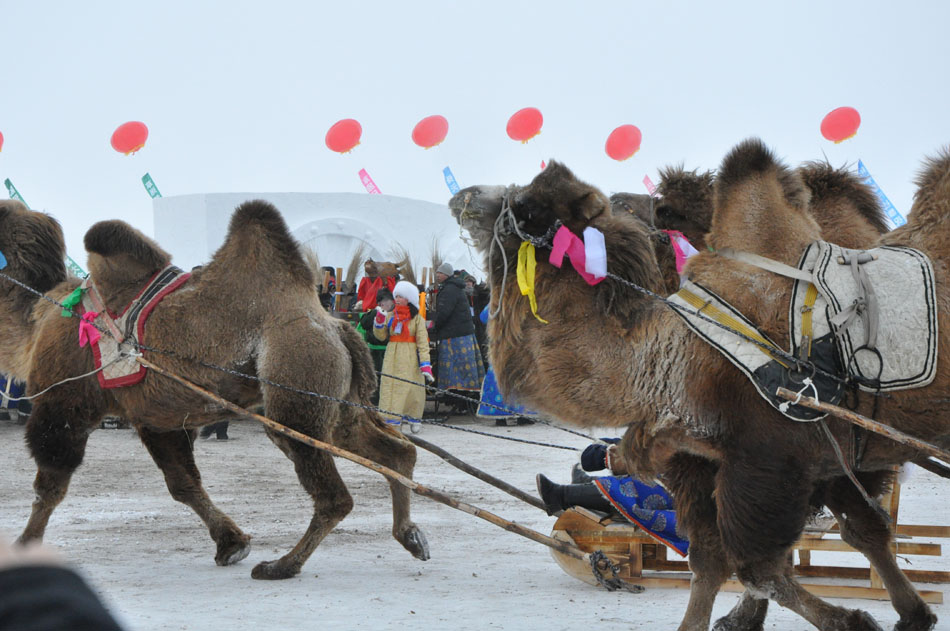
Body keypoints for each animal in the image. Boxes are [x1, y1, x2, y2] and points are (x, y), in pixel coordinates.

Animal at [0, 200, 432, 580]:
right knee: (395, 453)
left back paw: (282, 566)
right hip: (338, 402)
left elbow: (49, 486)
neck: (37, 318)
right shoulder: (157, 417)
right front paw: (231, 543)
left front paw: (25, 546)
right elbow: (183, 484)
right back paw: (410, 535)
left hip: (297, 386)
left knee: (334, 495)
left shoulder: (63, 403)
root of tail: (338, 326)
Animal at [452, 143, 944, 631]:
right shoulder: (711, 460)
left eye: (526, 205)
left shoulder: (782, 457)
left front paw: (872, 617)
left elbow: (779, 557)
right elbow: (718, 559)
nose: (463, 196)